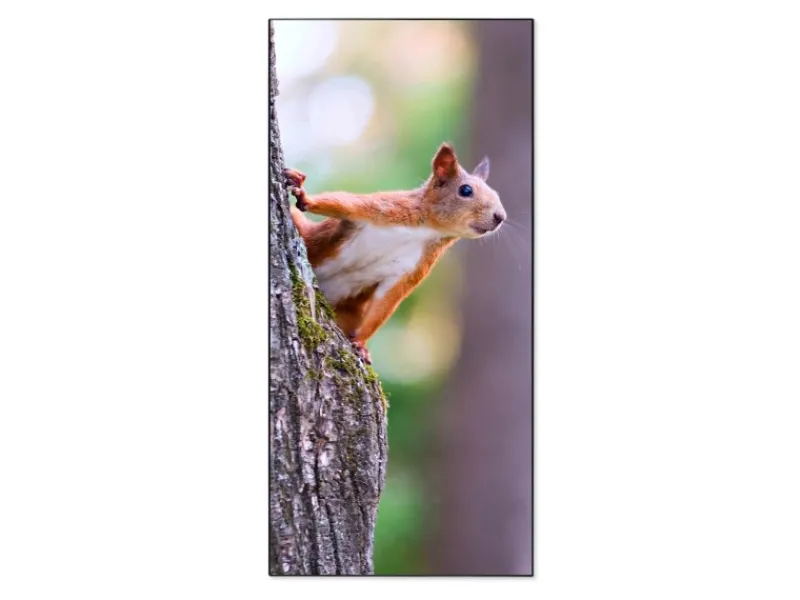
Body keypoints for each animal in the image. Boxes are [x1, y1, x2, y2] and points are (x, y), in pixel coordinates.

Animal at [283, 142, 506, 365]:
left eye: (496, 194)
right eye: (466, 190)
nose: (500, 217)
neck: (428, 229)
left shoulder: (413, 267)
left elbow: (387, 301)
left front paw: (361, 343)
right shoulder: (385, 208)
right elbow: (344, 203)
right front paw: (305, 198)